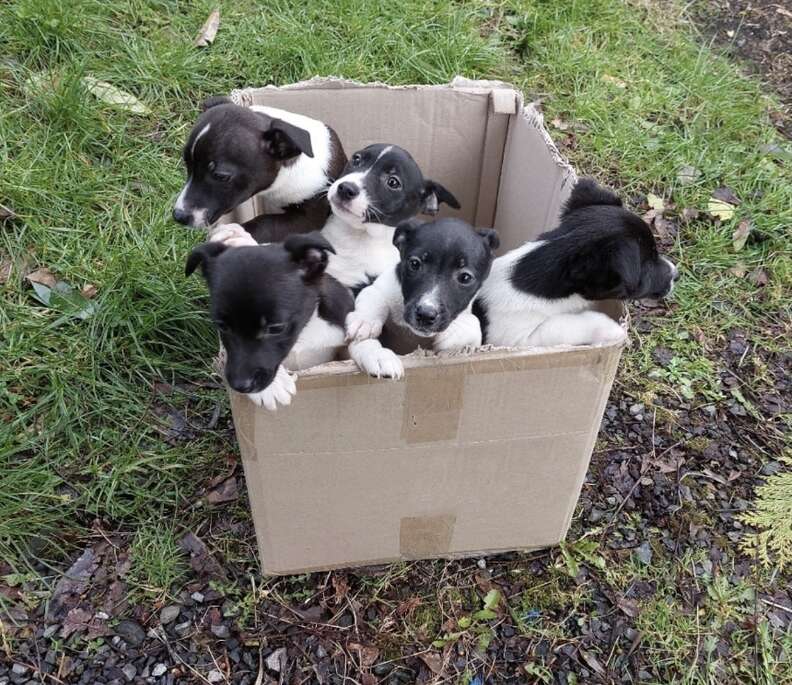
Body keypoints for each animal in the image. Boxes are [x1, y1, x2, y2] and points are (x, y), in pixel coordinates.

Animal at [344, 218, 496, 380]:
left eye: (465, 277)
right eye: (414, 263)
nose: (425, 314)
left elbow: (473, 321)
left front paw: (456, 333)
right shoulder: (379, 288)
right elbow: (374, 299)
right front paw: (372, 339)